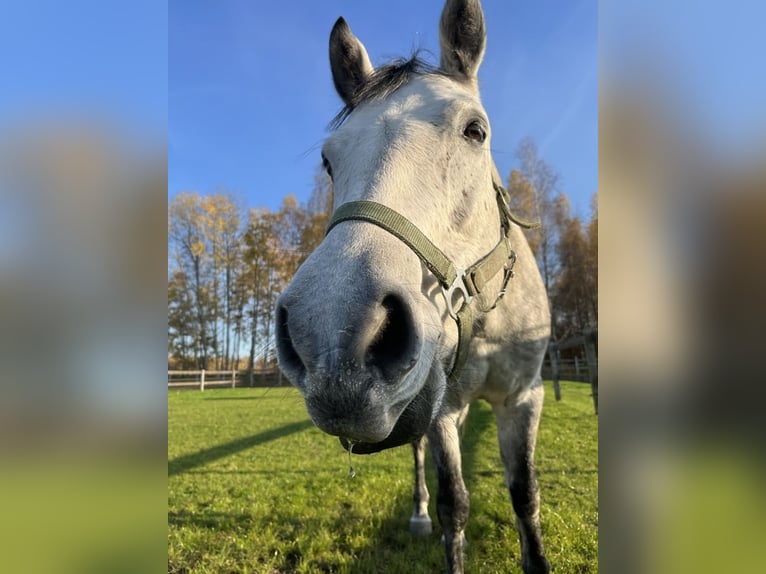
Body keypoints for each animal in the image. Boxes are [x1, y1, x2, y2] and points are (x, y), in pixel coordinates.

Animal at [276, 2, 552, 572]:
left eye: (476, 131)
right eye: (329, 160)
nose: (334, 335)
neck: (487, 315)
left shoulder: (523, 397)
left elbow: (524, 496)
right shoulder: (442, 408)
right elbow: (455, 505)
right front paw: (434, 515)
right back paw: (419, 513)